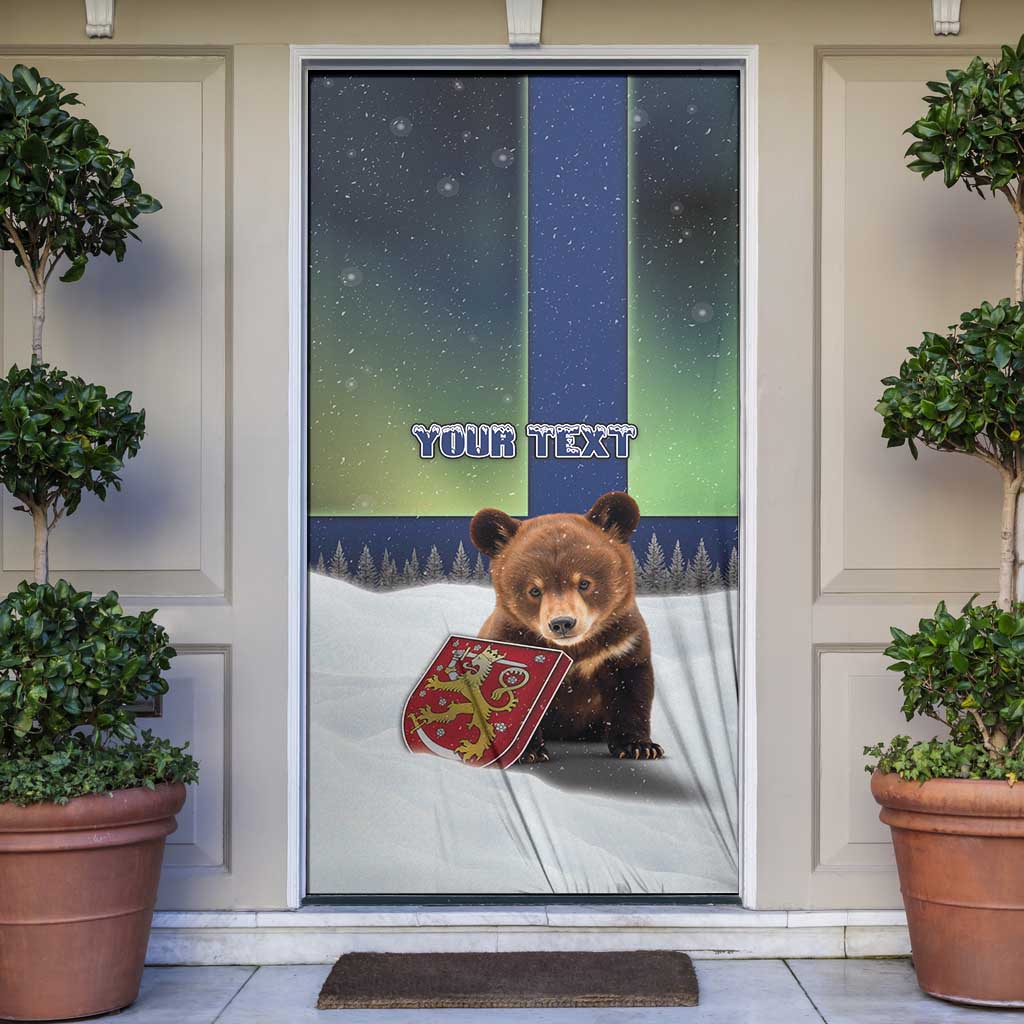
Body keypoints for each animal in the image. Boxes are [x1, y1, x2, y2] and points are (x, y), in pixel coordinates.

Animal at [469, 491, 663, 764]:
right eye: (534, 590)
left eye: (584, 583)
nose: (562, 623)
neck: (576, 649)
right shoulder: (511, 638)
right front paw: (526, 751)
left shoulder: (622, 643)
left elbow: (632, 688)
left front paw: (640, 746)